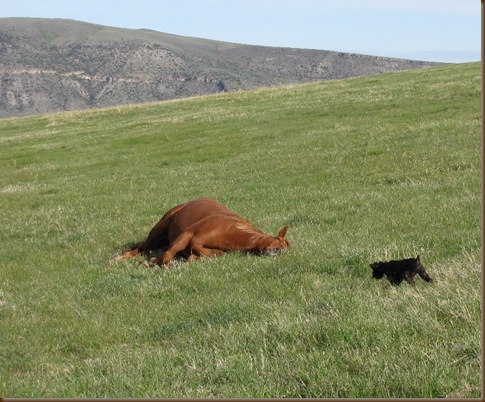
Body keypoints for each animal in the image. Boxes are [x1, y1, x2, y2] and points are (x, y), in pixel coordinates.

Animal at [115, 198, 290, 265]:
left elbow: (211, 253)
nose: (278, 252)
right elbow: (166, 256)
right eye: (278, 243)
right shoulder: (186, 235)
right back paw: (121, 258)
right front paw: (152, 263)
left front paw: (193, 257)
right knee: (141, 248)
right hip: (158, 230)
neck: (229, 230)